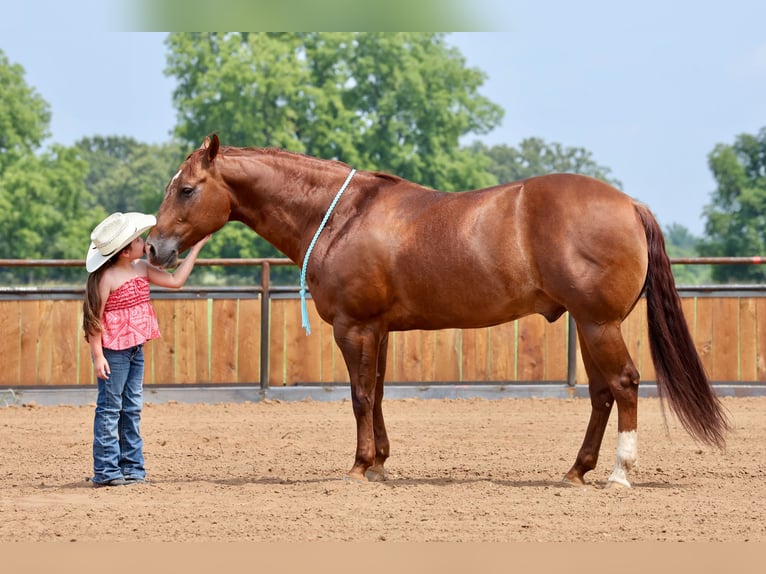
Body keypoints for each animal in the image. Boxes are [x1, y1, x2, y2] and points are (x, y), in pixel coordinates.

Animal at [146, 134, 729, 488]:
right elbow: (378, 393)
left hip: (598, 323)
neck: (342, 215)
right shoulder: (378, 329)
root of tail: (629, 204)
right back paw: (575, 471)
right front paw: (380, 464)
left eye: (187, 188)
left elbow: (359, 397)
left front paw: (359, 467)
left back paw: (619, 473)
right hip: (589, 327)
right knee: (603, 393)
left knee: (625, 384)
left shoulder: (354, 328)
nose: (154, 248)